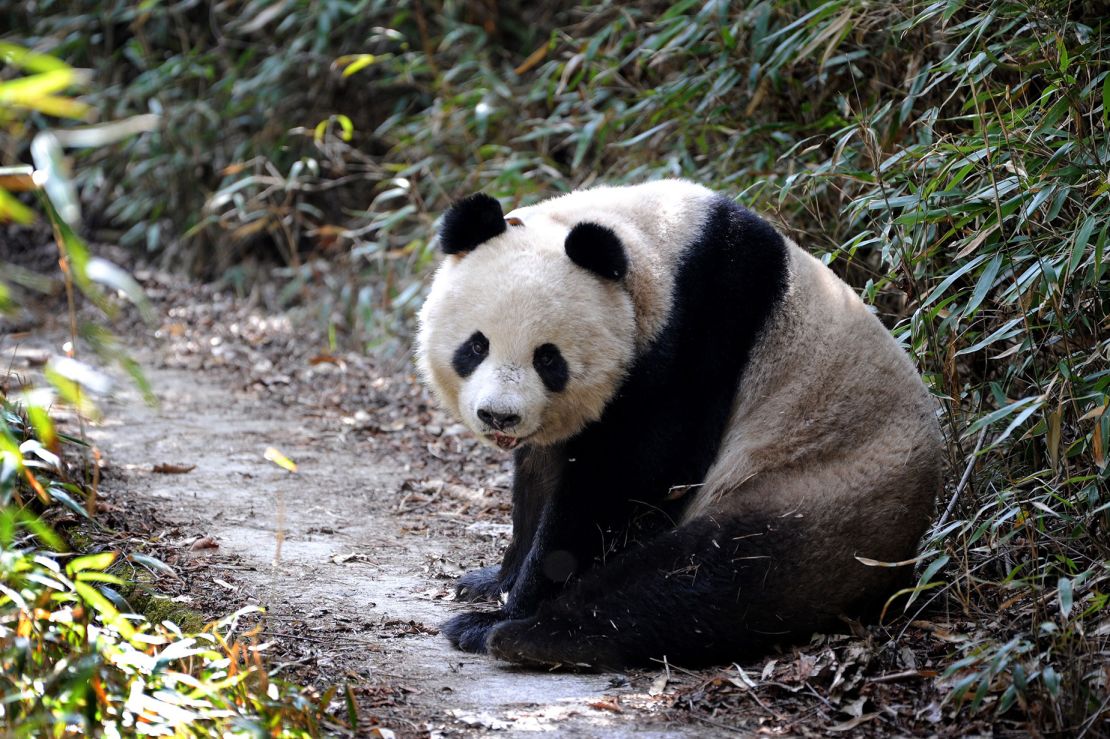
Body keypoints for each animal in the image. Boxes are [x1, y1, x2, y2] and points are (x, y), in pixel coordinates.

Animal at [417, 179, 945, 665]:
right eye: (476, 346)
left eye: (548, 358)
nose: (500, 415)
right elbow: (541, 475)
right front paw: (493, 581)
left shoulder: (701, 333)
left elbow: (624, 482)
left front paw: (509, 606)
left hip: (818, 492)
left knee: (706, 577)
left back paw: (516, 634)